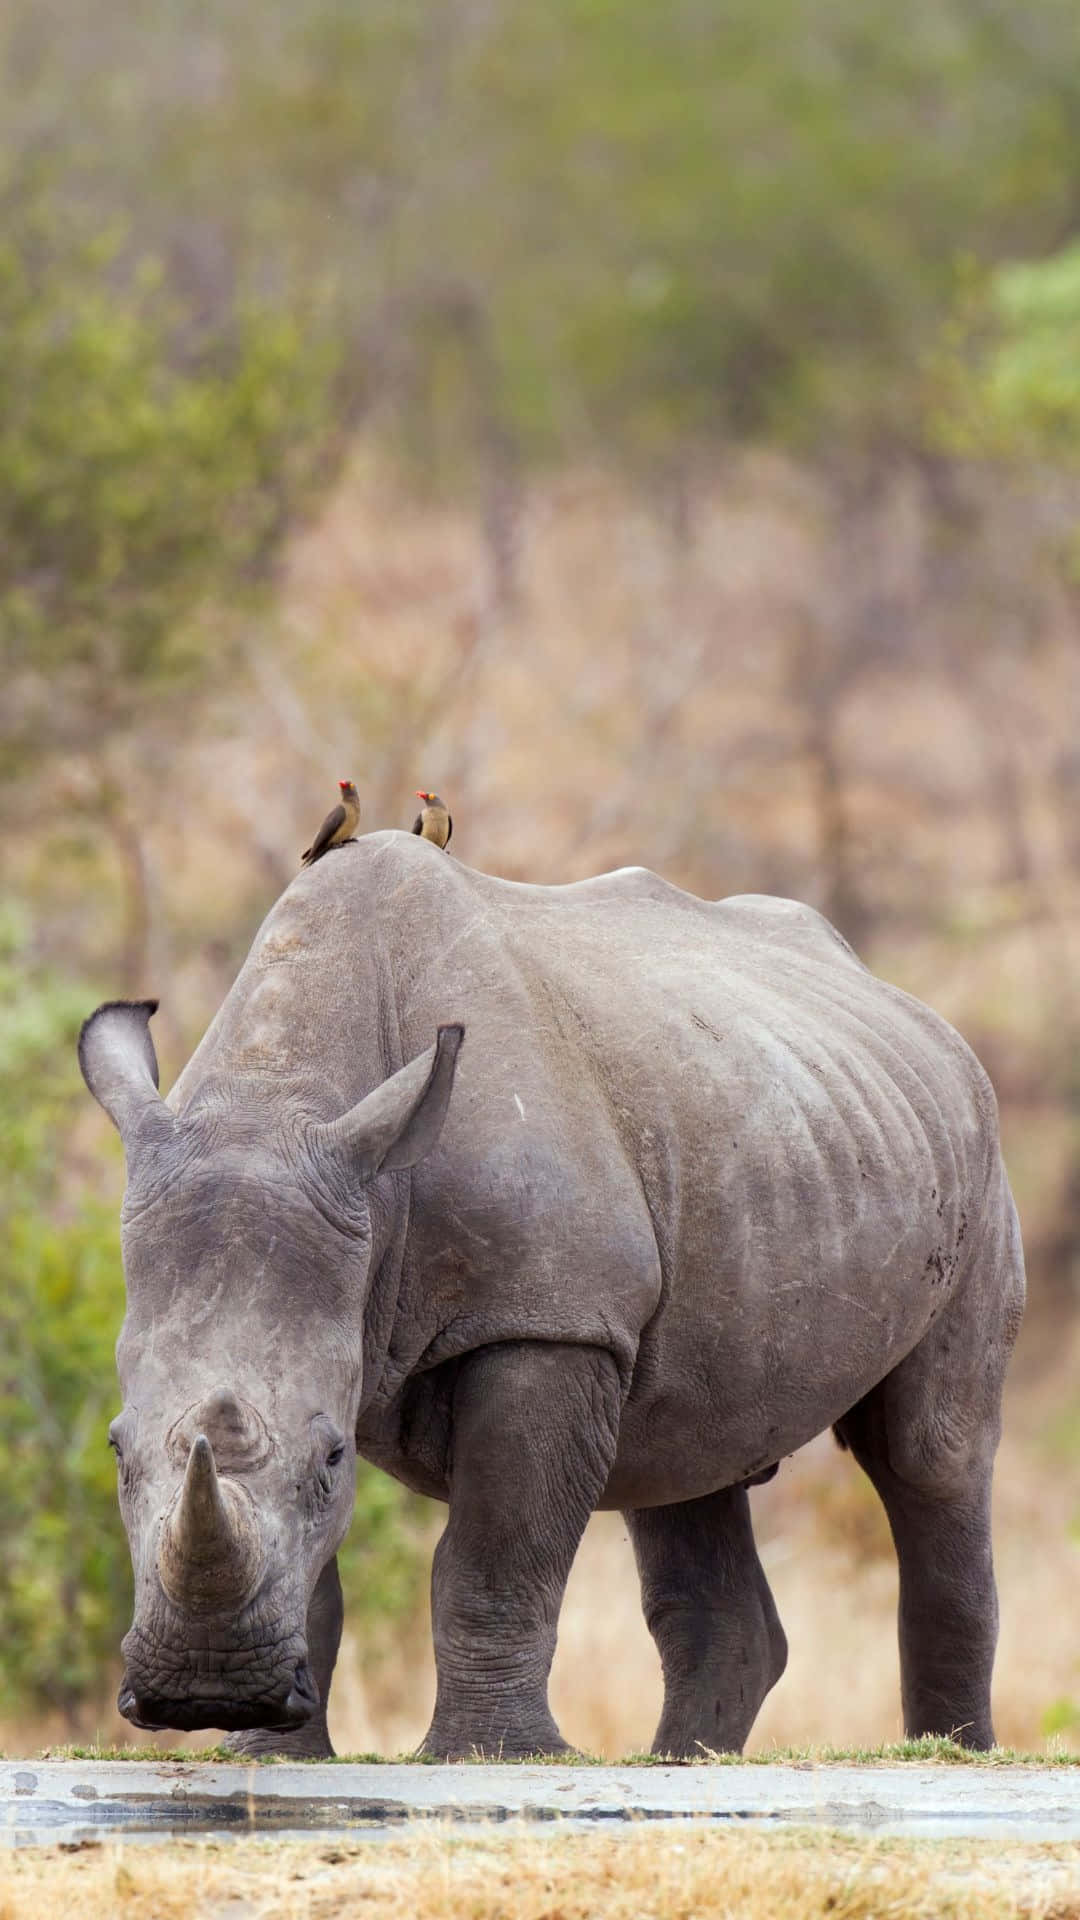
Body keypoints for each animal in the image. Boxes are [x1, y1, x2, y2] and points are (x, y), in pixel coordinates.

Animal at [78, 832, 1025, 1759]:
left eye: (334, 1458)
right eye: (117, 1451)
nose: (205, 1689)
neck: (276, 1098)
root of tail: (909, 1007)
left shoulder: (551, 1320)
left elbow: (493, 1556)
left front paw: (492, 1756)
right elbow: (320, 1581)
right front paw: (270, 1757)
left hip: (973, 1157)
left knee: (929, 1451)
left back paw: (949, 1756)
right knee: (687, 1455)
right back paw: (681, 1764)